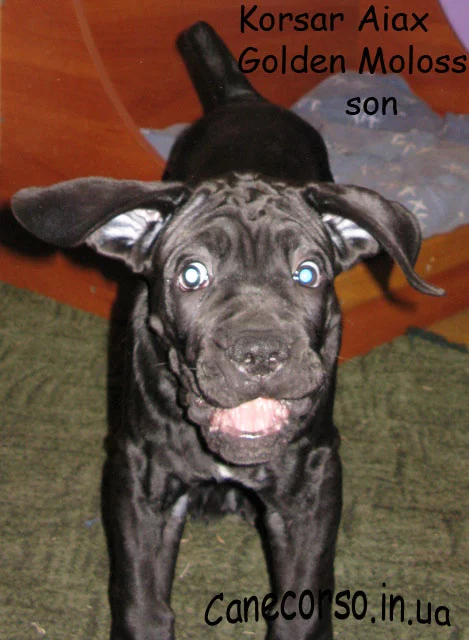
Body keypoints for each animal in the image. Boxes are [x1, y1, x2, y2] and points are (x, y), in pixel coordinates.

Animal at [11, 22, 443, 640]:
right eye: (191, 275)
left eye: (308, 273)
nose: (260, 353)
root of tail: (243, 99)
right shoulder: (140, 479)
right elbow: (142, 598)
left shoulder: (313, 480)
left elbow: (302, 601)